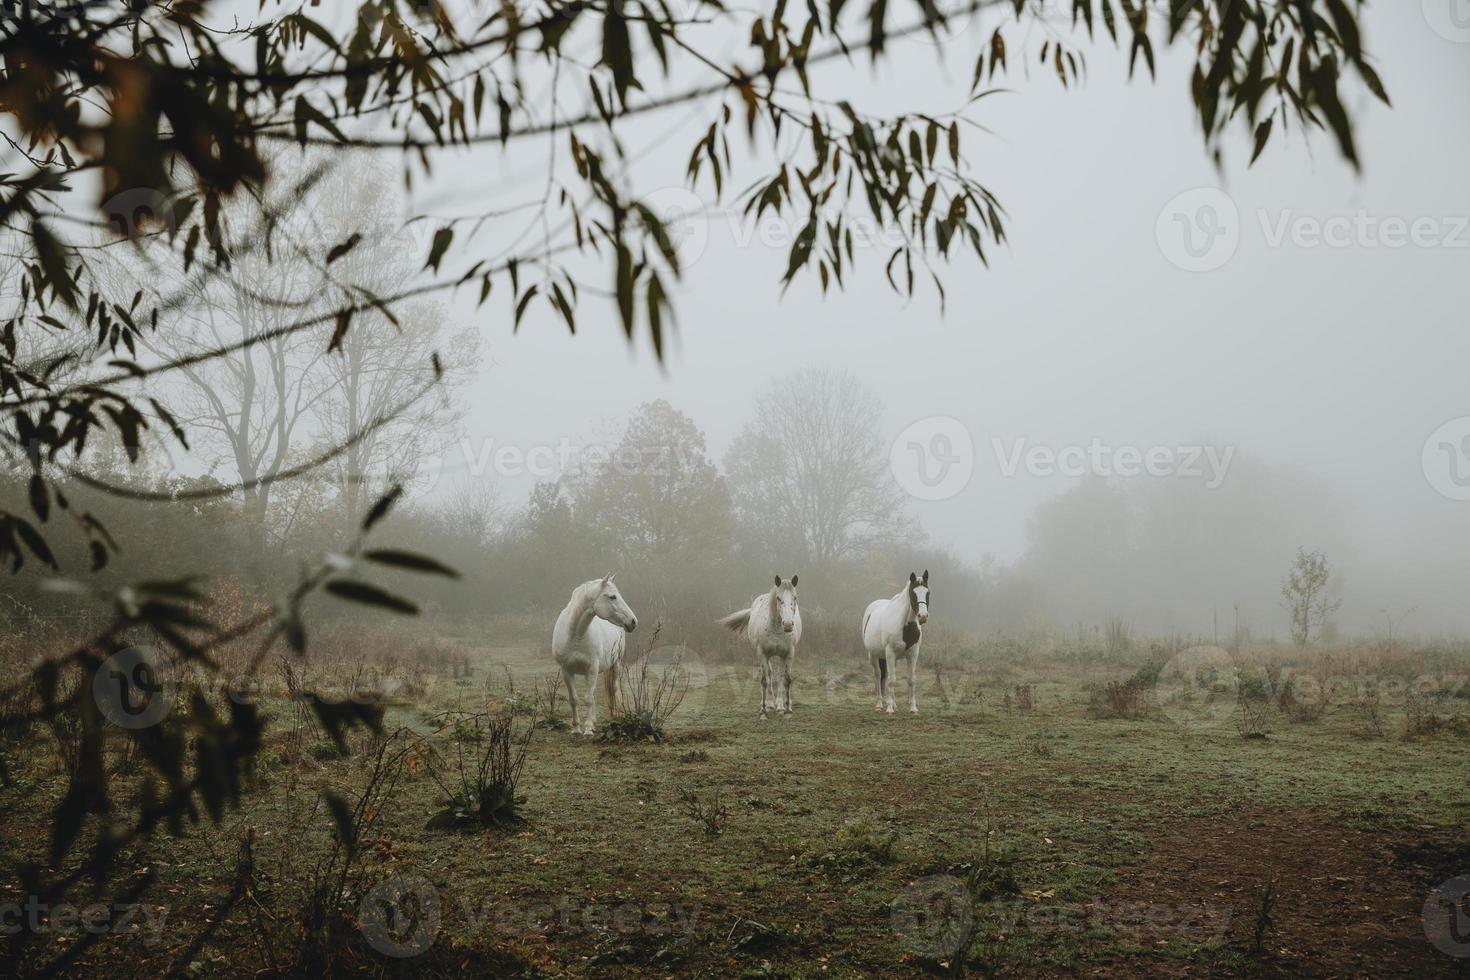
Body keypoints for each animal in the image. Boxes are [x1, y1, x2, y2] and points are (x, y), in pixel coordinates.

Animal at [552, 575, 637, 734]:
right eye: (612, 596)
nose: (633, 621)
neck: (575, 635)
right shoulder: (566, 671)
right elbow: (574, 699)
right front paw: (577, 728)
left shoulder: (592, 669)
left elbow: (588, 699)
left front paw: (588, 729)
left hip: (616, 664)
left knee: (613, 689)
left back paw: (614, 716)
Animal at [720, 575, 805, 719]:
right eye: (778, 598)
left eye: (795, 597)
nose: (788, 624)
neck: (776, 628)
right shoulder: (762, 653)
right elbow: (765, 680)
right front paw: (763, 711)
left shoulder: (789, 654)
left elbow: (786, 680)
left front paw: (787, 709)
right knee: (769, 674)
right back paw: (770, 704)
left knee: (779, 676)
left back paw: (780, 705)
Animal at [858, 570, 929, 717]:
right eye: (913, 593)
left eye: (928, 592)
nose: (923, 616)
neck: (905, 626)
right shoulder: (890, 653)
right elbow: (891, 680)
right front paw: (889, 708)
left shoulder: (913, 654)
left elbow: (911, 680)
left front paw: (913, 708)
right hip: (874, 655)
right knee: (879, 676)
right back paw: (880, 704)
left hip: (892, 659)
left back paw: (894, 704)